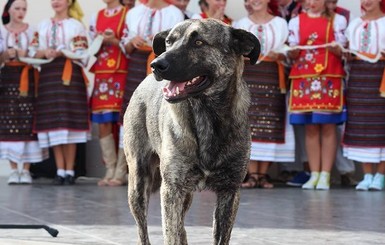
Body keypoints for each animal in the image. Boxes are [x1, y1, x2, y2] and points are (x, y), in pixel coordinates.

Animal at [123, 18, 260, 244]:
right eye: (169, 42)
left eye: (199, 42)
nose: (156, 65)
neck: (206, 114)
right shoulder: (171, 189)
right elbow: (171, 234)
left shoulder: (230, 191)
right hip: (138, 183)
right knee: (144, 231)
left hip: (184, 194)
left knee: (182, 229)